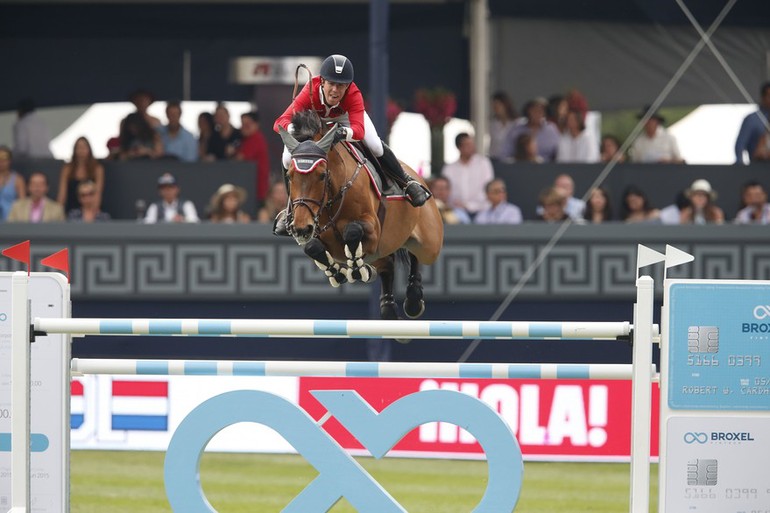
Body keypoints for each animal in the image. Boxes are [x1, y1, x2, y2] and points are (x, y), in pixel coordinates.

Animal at [280, 111, 440, 320]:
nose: (300, 228)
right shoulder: (317, 232)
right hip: (383, 251)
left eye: (322, 175)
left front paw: (356, 269)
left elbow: (353, 231)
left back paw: (413, 300)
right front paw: (338, 273)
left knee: (416, 255)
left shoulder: (374, 233)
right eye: (289, 176)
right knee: (388, 265)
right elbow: (312, 247)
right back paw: (387, 306)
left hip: (429, 245)